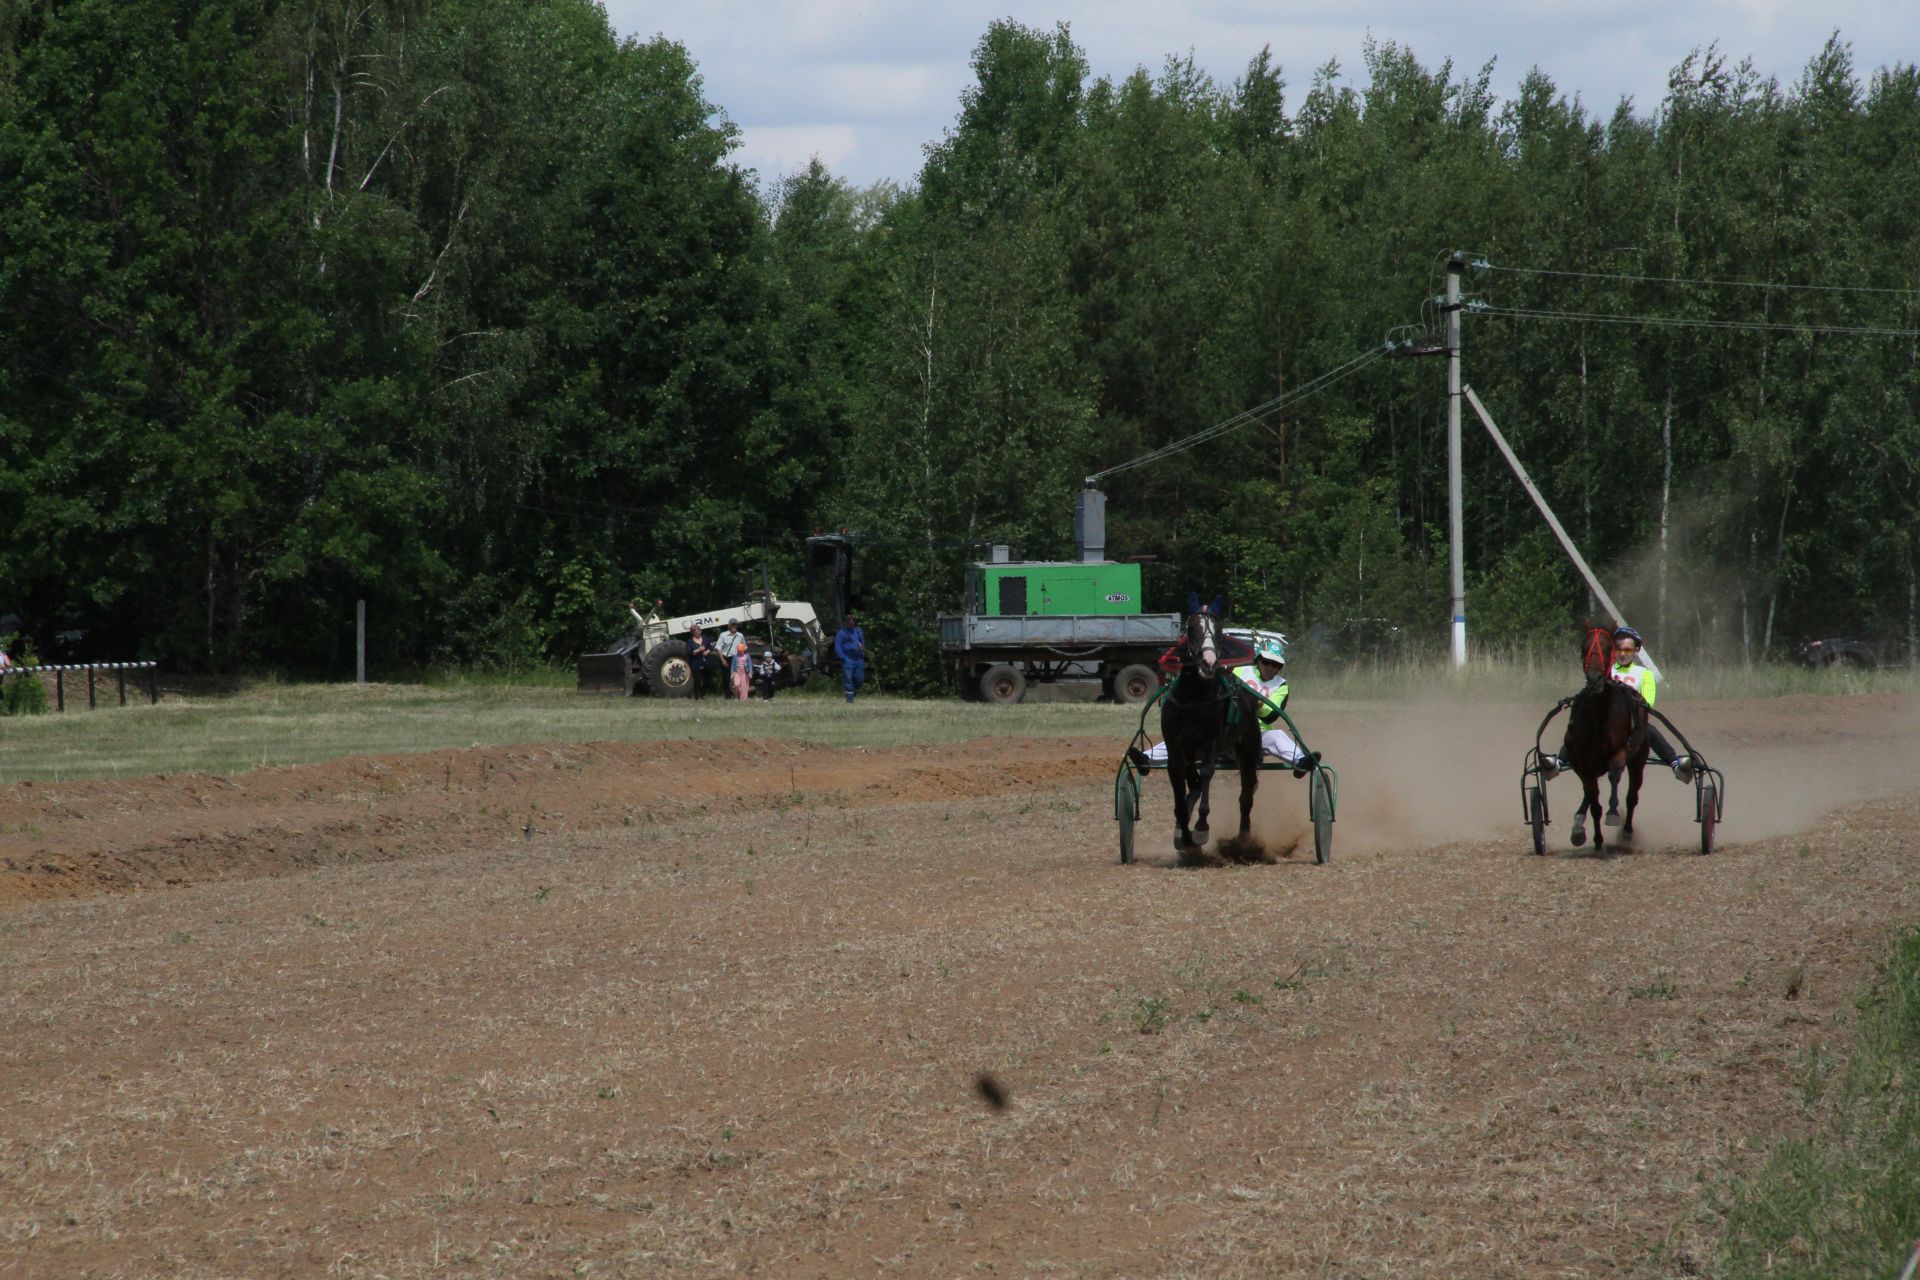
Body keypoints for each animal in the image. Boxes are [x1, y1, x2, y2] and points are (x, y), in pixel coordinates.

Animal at [1152, 594, 1274, 867]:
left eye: (1218, 630)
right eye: (1191, 628)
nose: (1208, 663)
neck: (1193, 699)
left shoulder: (1212, 745)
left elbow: (1207, 775)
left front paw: (1200, 829)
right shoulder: (1177, 751)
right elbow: (1181, 797)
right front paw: (1185, 838)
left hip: (1247, 750)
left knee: (1246, 798)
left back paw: (1243, 842)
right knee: (1196, 786)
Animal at [1559, 621, 1651, 852]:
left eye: (1610, 647)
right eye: (1583, 647)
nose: (1595, 679)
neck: (1598, 715)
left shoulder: (1619, 753)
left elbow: (1615, 776)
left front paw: (1612, 813)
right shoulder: (1582, 763)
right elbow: (1593, 801)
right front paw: (1596, 838)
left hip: (1639, 759)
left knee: (1632, 796)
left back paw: (1627, 831)